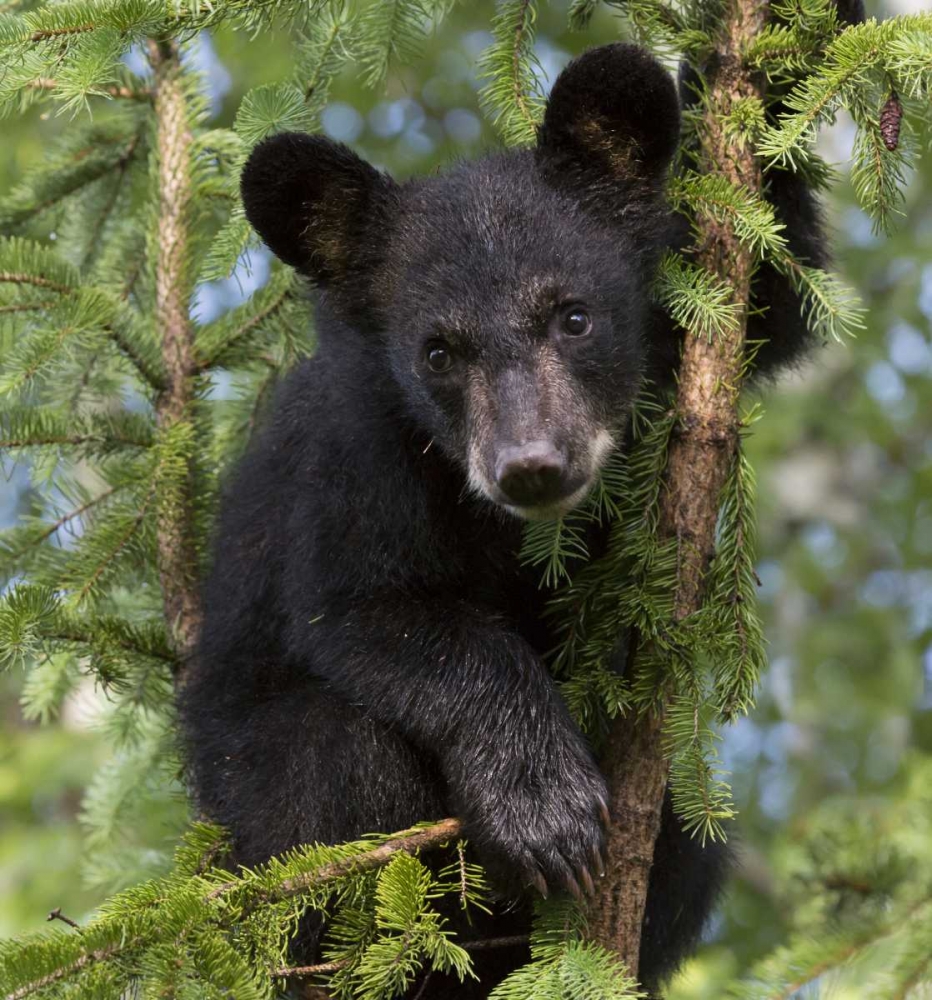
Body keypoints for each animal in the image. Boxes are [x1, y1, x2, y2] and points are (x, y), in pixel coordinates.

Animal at [180, 38, 855, 998]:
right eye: (438, 351)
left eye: (573, 315)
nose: (531, 465)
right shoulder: (355, 454)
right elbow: (366, 610)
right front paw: (543, 806)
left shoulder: (680, 324)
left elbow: (770, 287)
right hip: (251, 823)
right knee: (331, 765)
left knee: (690, 841)